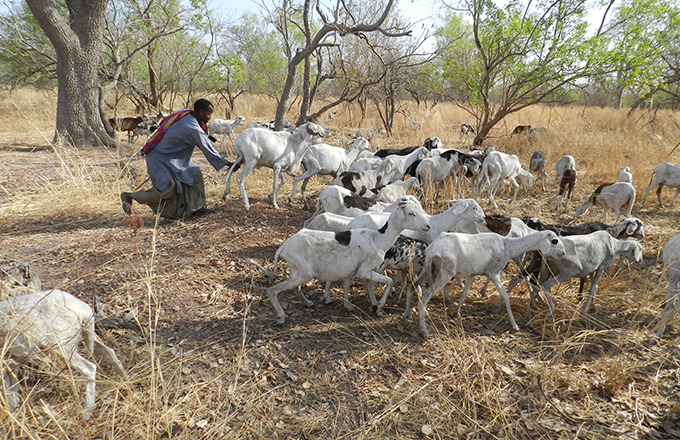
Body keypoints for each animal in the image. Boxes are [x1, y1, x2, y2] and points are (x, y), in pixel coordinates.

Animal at [0, 288, 127, 420]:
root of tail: (84, 309)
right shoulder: (11, 357)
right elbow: (12, 387)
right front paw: (13, 408)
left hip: (62, 344)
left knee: (89, 368)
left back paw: (87, 412)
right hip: (82, 336)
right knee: (108, 351)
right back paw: (125, 380)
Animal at [250, 199, 430, 324]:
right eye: (411, 213)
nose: (427, 226)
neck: (378, 238)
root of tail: (283, 247)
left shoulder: (350, 271)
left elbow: (346, 285)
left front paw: (348, 305)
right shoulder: (364, 271)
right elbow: (389, 281)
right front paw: (379, 307)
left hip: (298, 272)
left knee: (295, 288)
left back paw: (308, 303)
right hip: (303, 273)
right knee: (272, 290)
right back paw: (281, 317)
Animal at [412, 230, 564, 336]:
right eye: (554, 241)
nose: (563, 253)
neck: (507, 246)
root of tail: (434, 249)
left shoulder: (472, 274)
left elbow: (465, 293)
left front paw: (456, 312)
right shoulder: (494, 273)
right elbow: (506, 296)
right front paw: (514, 325)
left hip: (426, 269)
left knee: (414, 288)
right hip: (445, 274)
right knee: (423, 299)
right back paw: (423, 330)